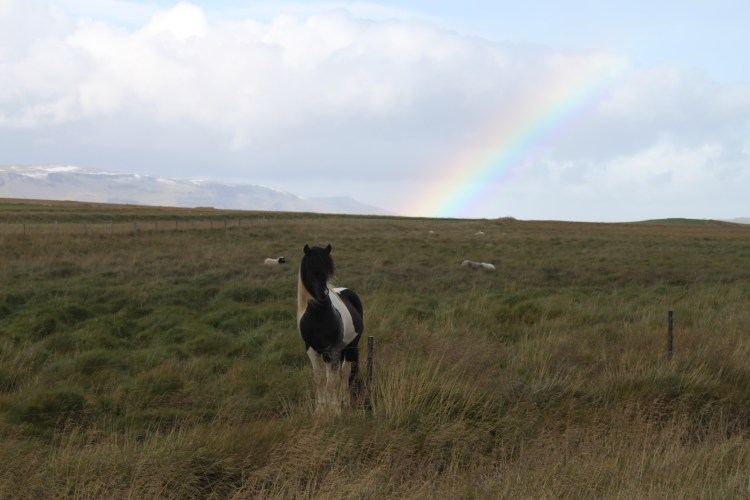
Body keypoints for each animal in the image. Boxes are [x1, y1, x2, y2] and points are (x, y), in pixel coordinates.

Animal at [297, 244, 363, 414]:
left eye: (328, 270)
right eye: (311, 268)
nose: (324, 293)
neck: (318, 316)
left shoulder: (332, 350)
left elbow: (333, 380)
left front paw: (335, 409)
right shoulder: (311, 349)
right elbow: (321, 379)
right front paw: (321, 408)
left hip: (350, 348)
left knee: (345, 374)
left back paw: (344, 402)